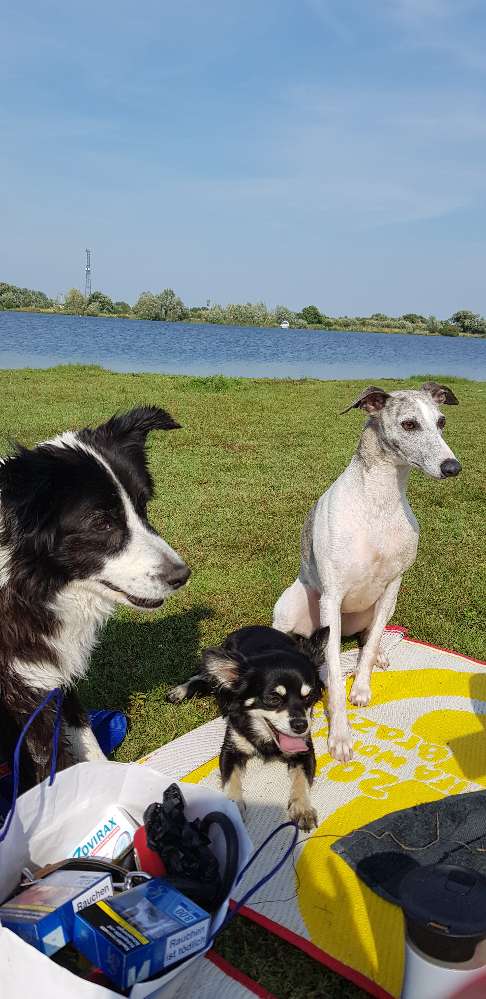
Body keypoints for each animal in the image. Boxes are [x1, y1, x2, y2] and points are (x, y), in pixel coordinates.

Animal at [274, 382, 460, 764]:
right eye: (409, 424)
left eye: (442, 421)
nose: (453, 467)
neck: (379, 501)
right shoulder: (332, 596)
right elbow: (331, 674)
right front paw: (340, 737)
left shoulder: (392, 585)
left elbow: (372, 642)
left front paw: (361, 686)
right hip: (292, 604)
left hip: (376, 608)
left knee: (368, 634)